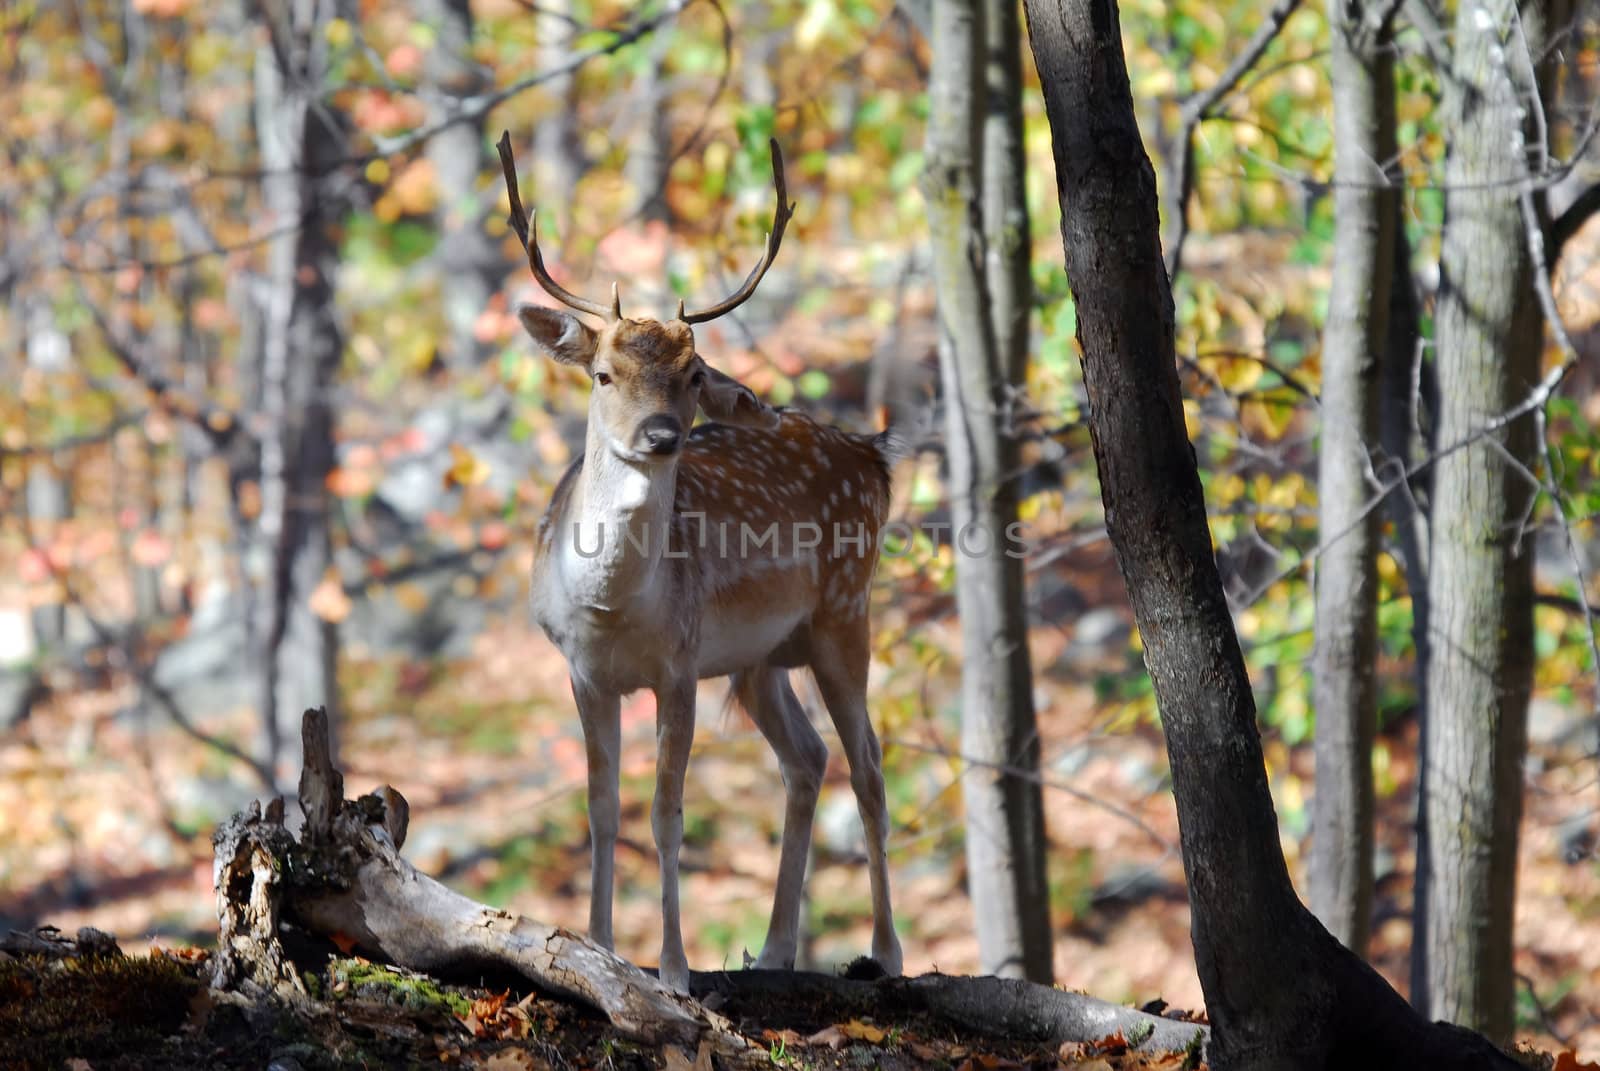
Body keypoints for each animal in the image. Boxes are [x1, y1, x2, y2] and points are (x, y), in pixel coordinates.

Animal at [492, 136, 908, 992]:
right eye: (603, 373)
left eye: (692, 375)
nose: (661, 435)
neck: (611, 608)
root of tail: (875, 456)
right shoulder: (582, 670)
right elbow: (601, 808)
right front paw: (599, 945)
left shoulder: (678, 665)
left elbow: (665, 812)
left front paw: (674, 969)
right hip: (761, 657)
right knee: (808, 758)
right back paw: (776, 949)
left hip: (845, 610)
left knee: (870, 766)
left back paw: (885, 952)